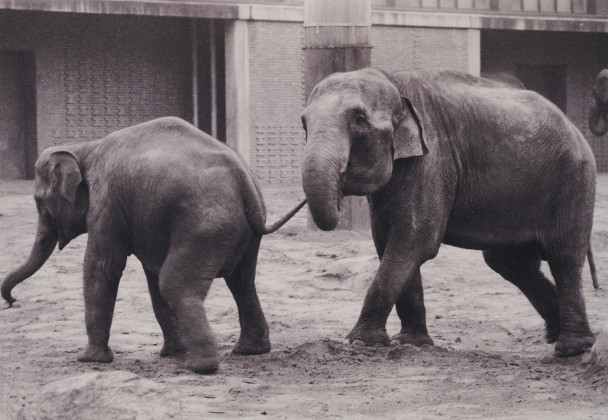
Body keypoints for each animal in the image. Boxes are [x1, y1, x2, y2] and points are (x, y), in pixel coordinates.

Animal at [3, 117, 308, 374]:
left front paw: (89, 360)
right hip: (241, 231)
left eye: (39, 201)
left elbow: (103, 267)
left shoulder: (108, 203)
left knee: (176, 283)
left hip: (204, 225)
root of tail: (243, 178)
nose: (11, 302)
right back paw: (248, 351)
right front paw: (171, 353)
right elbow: (152, 276)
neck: (84, 149)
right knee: (241, 281)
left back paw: (200, 365)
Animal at [302, 68, 596, 358]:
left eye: (360, 120)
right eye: (304, 123)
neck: (392, 80)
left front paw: (361, 343)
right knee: (510, 263)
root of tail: (573, 126)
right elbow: (389, 243)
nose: (340, 191)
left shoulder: (433, 161)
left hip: (572, 181)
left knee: (563, 256)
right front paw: (411, 343)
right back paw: (556, 333)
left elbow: (415, 240)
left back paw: (572, 348)